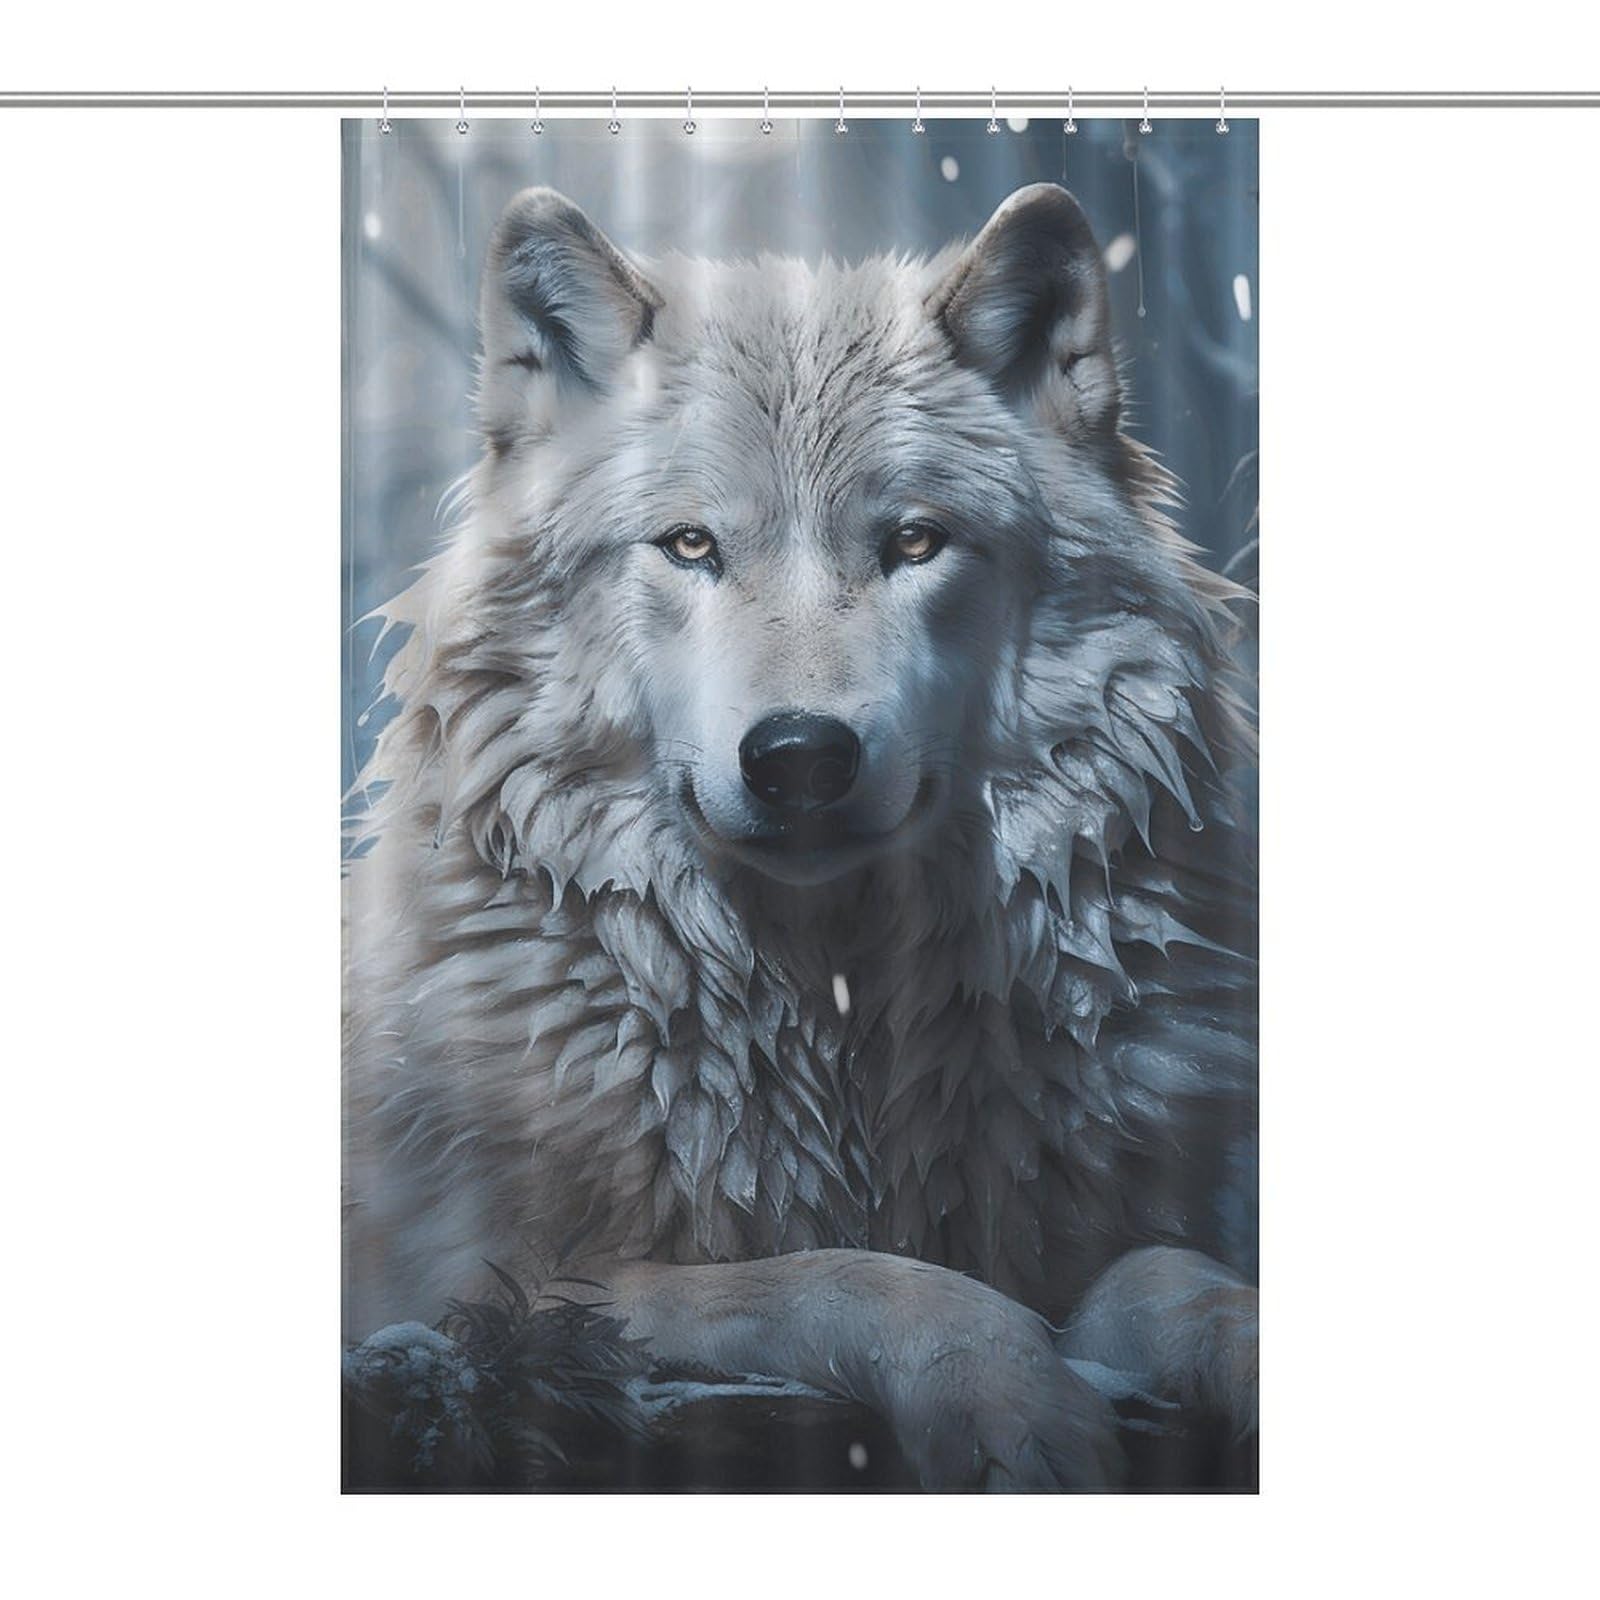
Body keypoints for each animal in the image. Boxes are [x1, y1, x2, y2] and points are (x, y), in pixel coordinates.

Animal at [343, 182, 1259, 1489]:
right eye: (689, 544)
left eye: (915, 542)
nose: (799, 757)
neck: (832, 1016)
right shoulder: (477, 1285)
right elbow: (842, 1277)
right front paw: (1013, 1405)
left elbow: (1176, 1276)